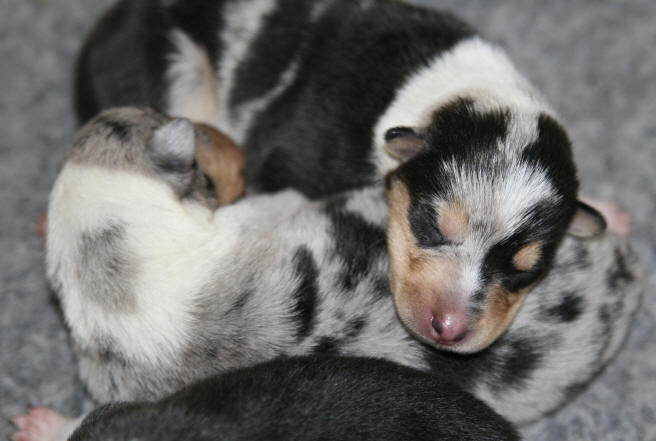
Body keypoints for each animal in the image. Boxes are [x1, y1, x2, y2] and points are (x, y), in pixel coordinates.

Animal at [74, 0, 609, 353]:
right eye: (431, 225)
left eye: (526, 270)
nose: (449, 329)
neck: (437, 95)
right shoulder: (291, 162)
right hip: (172, 72)